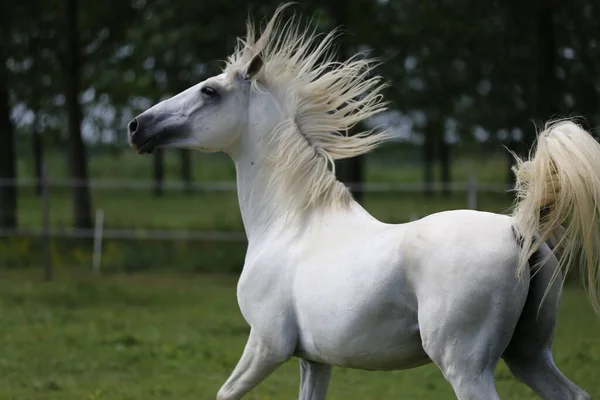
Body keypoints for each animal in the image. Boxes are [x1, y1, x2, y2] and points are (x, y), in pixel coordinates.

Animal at [127, 4, 600, 398]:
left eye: (209, 91)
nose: (136, 127)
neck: (290, 224)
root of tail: (522, 231)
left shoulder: (265, 344)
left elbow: (224, 393)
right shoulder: (314, 361)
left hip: (466, 367)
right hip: (529, 357)